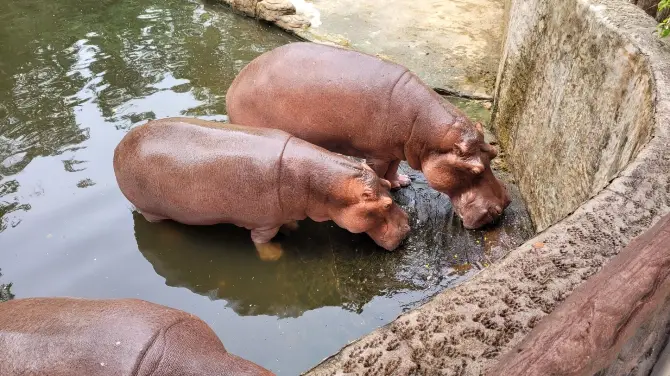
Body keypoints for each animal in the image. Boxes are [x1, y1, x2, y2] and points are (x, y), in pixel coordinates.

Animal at [113, 117, 412, 258]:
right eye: (386, 203)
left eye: (387, 183)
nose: (409, 227)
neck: (319, 184)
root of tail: (118, 148)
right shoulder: (263, 222)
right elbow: (262, 242)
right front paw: (276, 254)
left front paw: (292, 228)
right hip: (152, 210)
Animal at [227, 41, 516, 229]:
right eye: (475, 170)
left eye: (493, 153)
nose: (503, 206)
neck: (426, 131)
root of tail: (237, 81)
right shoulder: (376, 154)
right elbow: (379, 172)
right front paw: (386, 188)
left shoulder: (394, 149)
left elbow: (394, 167)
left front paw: (401, 182)